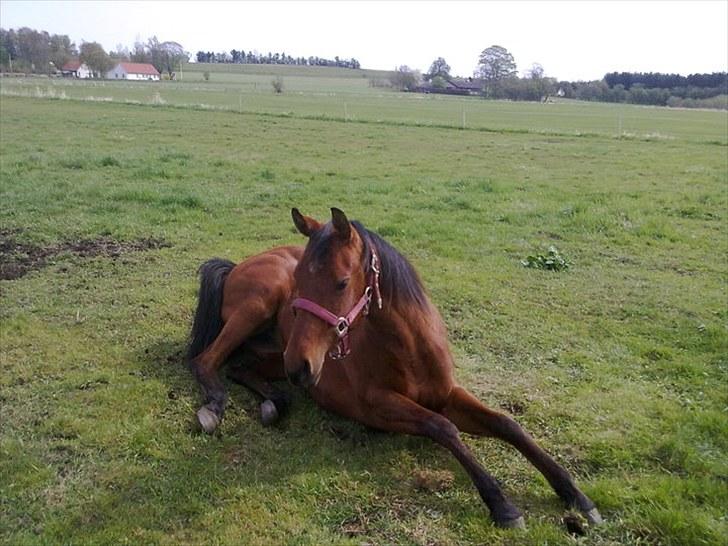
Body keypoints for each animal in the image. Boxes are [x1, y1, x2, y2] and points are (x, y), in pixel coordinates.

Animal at [188, 205, 604, 528]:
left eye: (341, 283)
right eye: (299, 280)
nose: (301, 366)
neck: (410, 350)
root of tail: (238, 265)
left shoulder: (447, 394)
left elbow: (507, 424)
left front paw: (574, 493)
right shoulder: (376, 406)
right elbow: (443, 427)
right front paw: (502, 505)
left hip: (272, 353)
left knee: (239, 367)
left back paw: (274, 402)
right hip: (261, 308)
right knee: (206, 361)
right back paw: (214, 407)